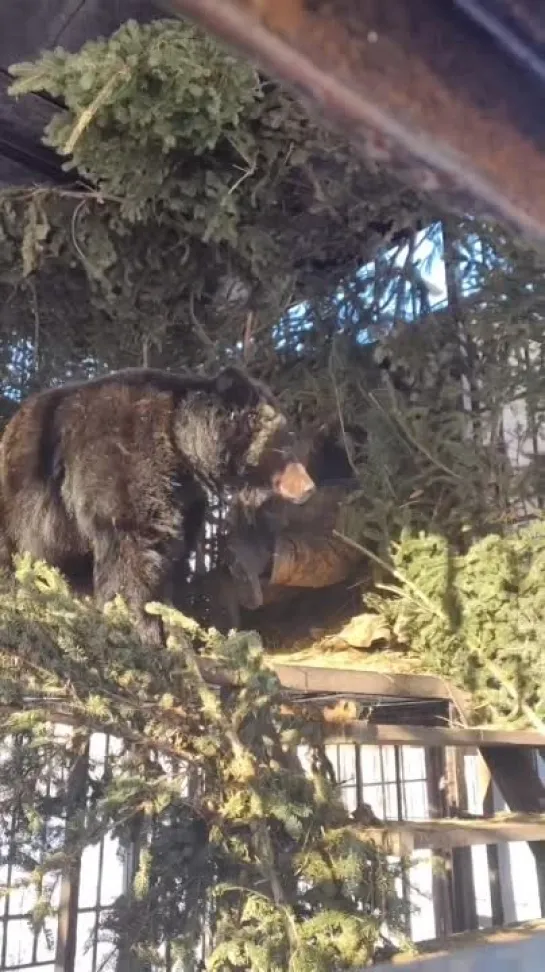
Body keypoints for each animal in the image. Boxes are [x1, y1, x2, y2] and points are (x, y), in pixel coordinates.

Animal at [0, 366, 314, 644]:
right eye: (285, 442)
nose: (309, 486)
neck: (182, 445)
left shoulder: (185, 496)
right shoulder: (123, 453)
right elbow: (132, 538)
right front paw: (139, 624)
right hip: (25, 499)